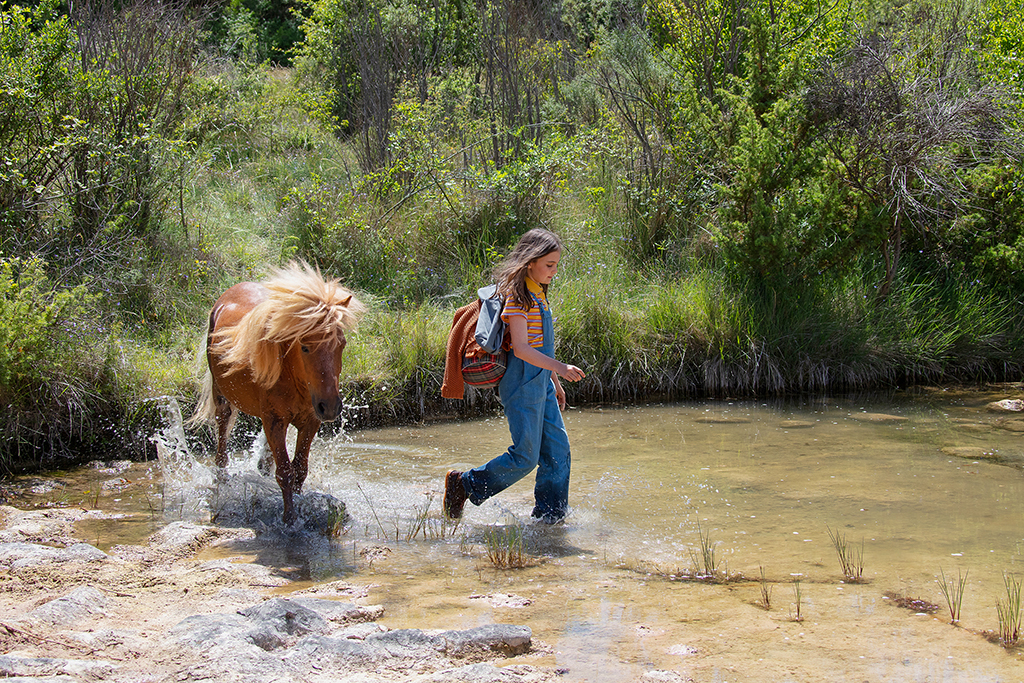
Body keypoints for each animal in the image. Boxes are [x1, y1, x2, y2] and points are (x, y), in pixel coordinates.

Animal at [191, 262, 364, 524]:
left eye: (341, 344)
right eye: (304, 347)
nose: (331, 406)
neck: (293, 380)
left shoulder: (310, 422)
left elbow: (299, 469)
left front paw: (301, 506)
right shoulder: (274, 421)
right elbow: (284, 472)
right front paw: (289, 519)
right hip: (221, 398)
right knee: (222, 442)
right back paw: (221, 482)